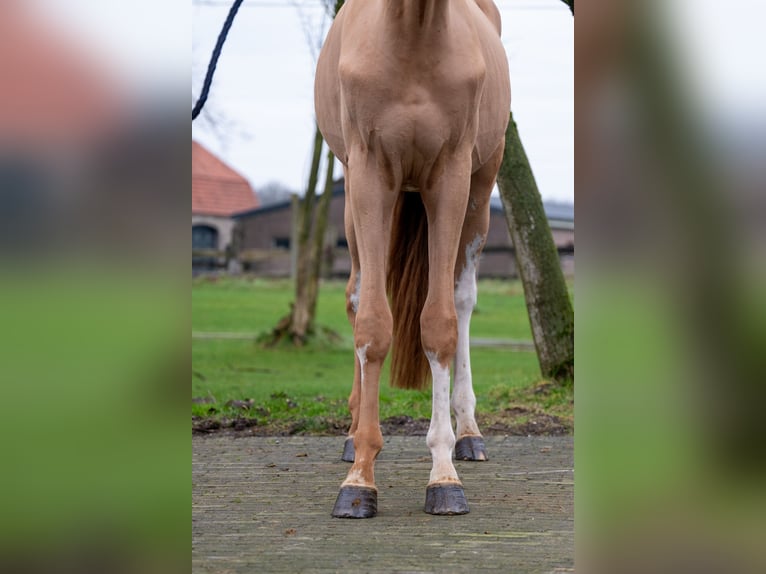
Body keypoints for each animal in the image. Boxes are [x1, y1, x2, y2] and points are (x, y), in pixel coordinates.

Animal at [316, 0, 512, 520]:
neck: (413, 30)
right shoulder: (369, 175)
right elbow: (371, 324)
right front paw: (359, 478)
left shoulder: (450, 178)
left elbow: (440, 324)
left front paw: (444, 475)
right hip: (356, 202)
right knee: (357, 296)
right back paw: (351, 437)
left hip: (479, 193)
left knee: (462, 301)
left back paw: (468, 434)